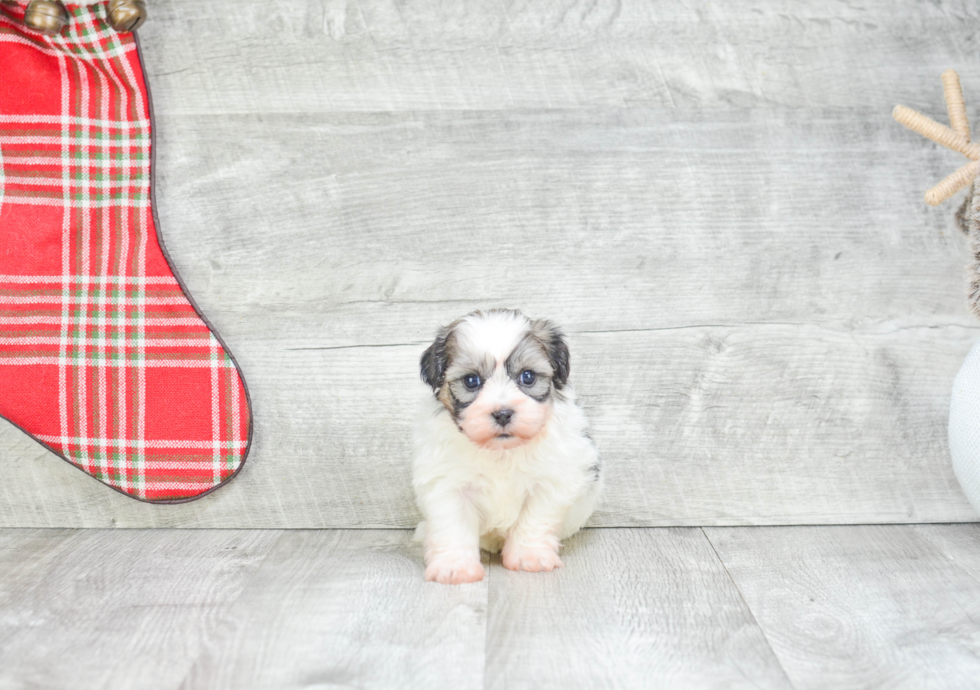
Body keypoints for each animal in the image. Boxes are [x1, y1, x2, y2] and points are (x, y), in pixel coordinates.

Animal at [412, 310, 600, 584]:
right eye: (471, 381)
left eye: (527, 376)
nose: (502, 413)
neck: (501, 451)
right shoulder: (447, 484)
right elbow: (453, 525)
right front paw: (455, 567)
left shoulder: (552, 480)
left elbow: (534, 520)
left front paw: (529, 557)